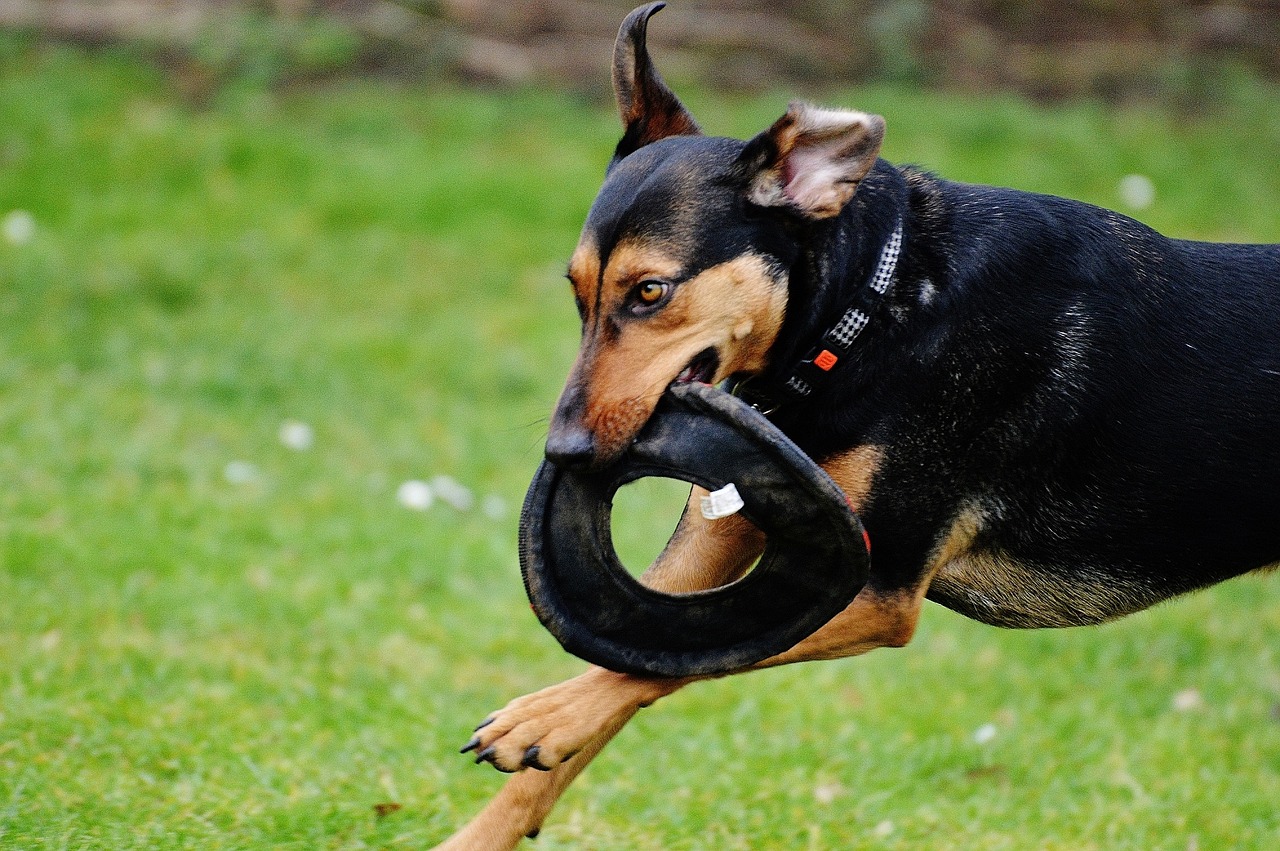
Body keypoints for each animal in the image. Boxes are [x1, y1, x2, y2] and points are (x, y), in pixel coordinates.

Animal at [432, 4, 1280, 844]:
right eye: (577, 291)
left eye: (650, 291)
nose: (565, 451)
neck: (867, 310)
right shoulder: (718, 533)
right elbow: (618, 670)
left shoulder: (880, 592)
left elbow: (649, 662)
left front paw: (537, 717)